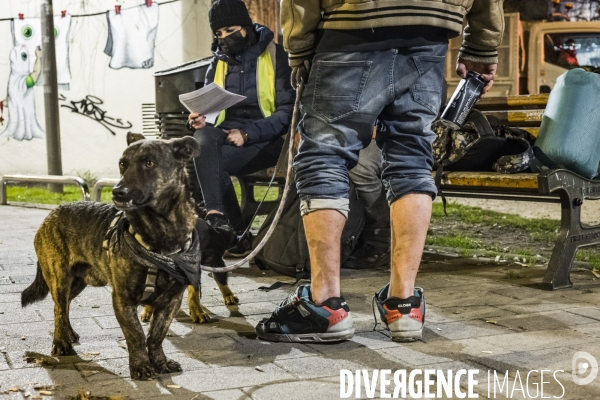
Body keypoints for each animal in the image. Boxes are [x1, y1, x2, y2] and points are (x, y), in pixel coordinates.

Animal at [23, 133, 238, 380]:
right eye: (122, 164)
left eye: (150, 163)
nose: (117, 191)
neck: (160, 236)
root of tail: (50, 215)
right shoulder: (122, 299)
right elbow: (136, 335)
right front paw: (141, 366)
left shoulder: (171, 301)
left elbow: (156, 336)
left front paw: (160, 362)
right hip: (60, 278)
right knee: (58, 308)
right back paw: (61, 342)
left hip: (78, 281)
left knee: (65, 305)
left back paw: (69, 333)